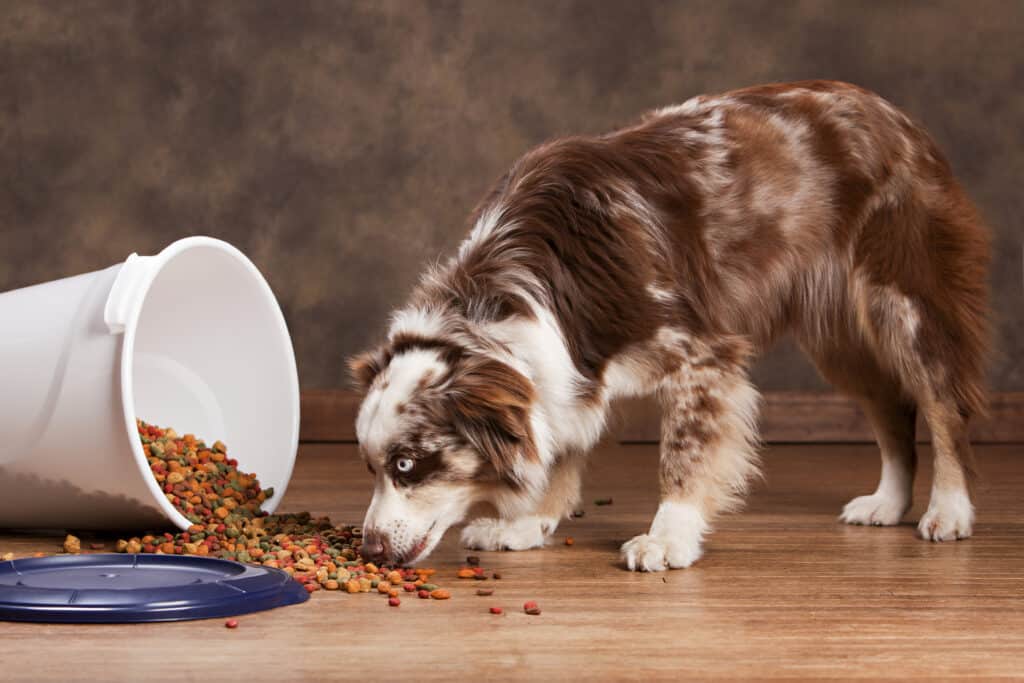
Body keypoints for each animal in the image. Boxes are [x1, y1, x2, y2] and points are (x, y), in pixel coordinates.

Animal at [348, 80, 987, 573]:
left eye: (407, 465)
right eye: (371, 467)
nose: (370, 549)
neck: (509, 295)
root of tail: (894, 114)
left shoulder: (701, 357)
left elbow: (682, 456)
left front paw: (667, 538)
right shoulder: (566, 370)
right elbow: (560, 446)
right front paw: (529, 523)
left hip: (903, 306)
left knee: (942, 405)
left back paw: (949, 510)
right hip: (839, 341)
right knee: (892, 410)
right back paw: (888, 504)